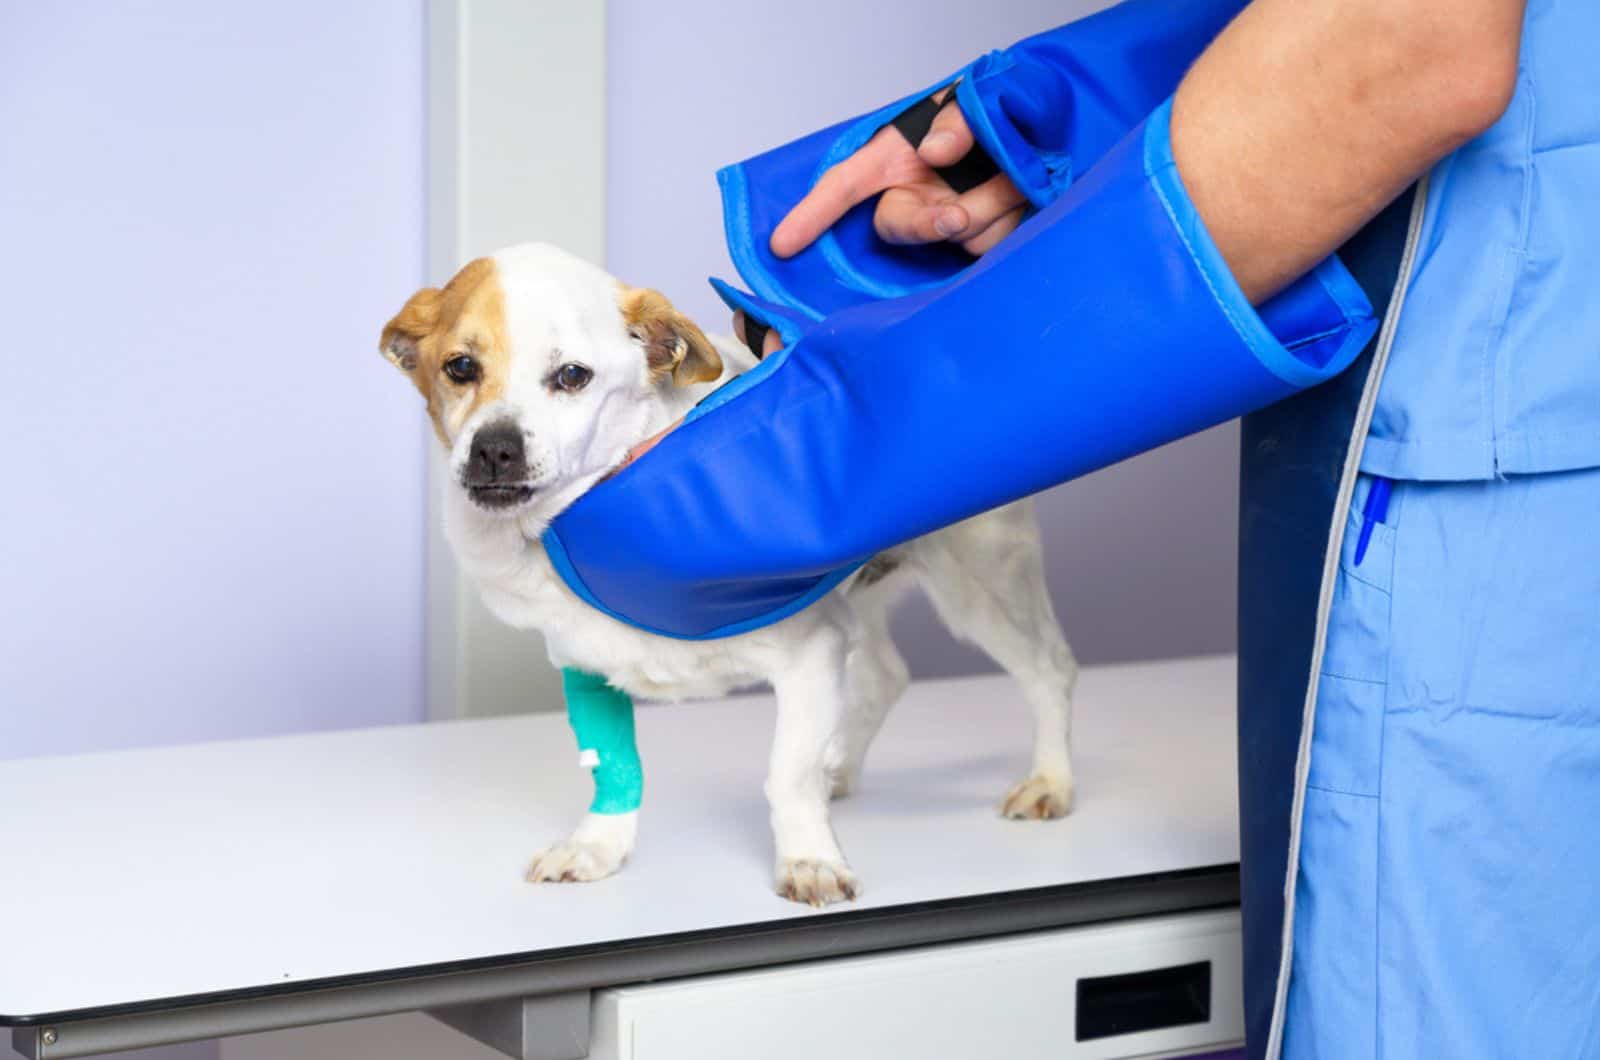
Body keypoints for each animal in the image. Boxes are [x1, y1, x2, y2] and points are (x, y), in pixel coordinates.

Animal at [377, 244, 1075, 909]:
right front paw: (599, 846)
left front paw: (809, 860)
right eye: (460, 368)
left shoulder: (810, 654)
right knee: (886, 675)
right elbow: (615, 770)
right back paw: (843, 769)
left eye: (572, 376)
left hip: (979, 585)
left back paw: (1050, 781)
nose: (495, 449)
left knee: (1049, 669)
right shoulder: (586, 665)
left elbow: (788, 774)